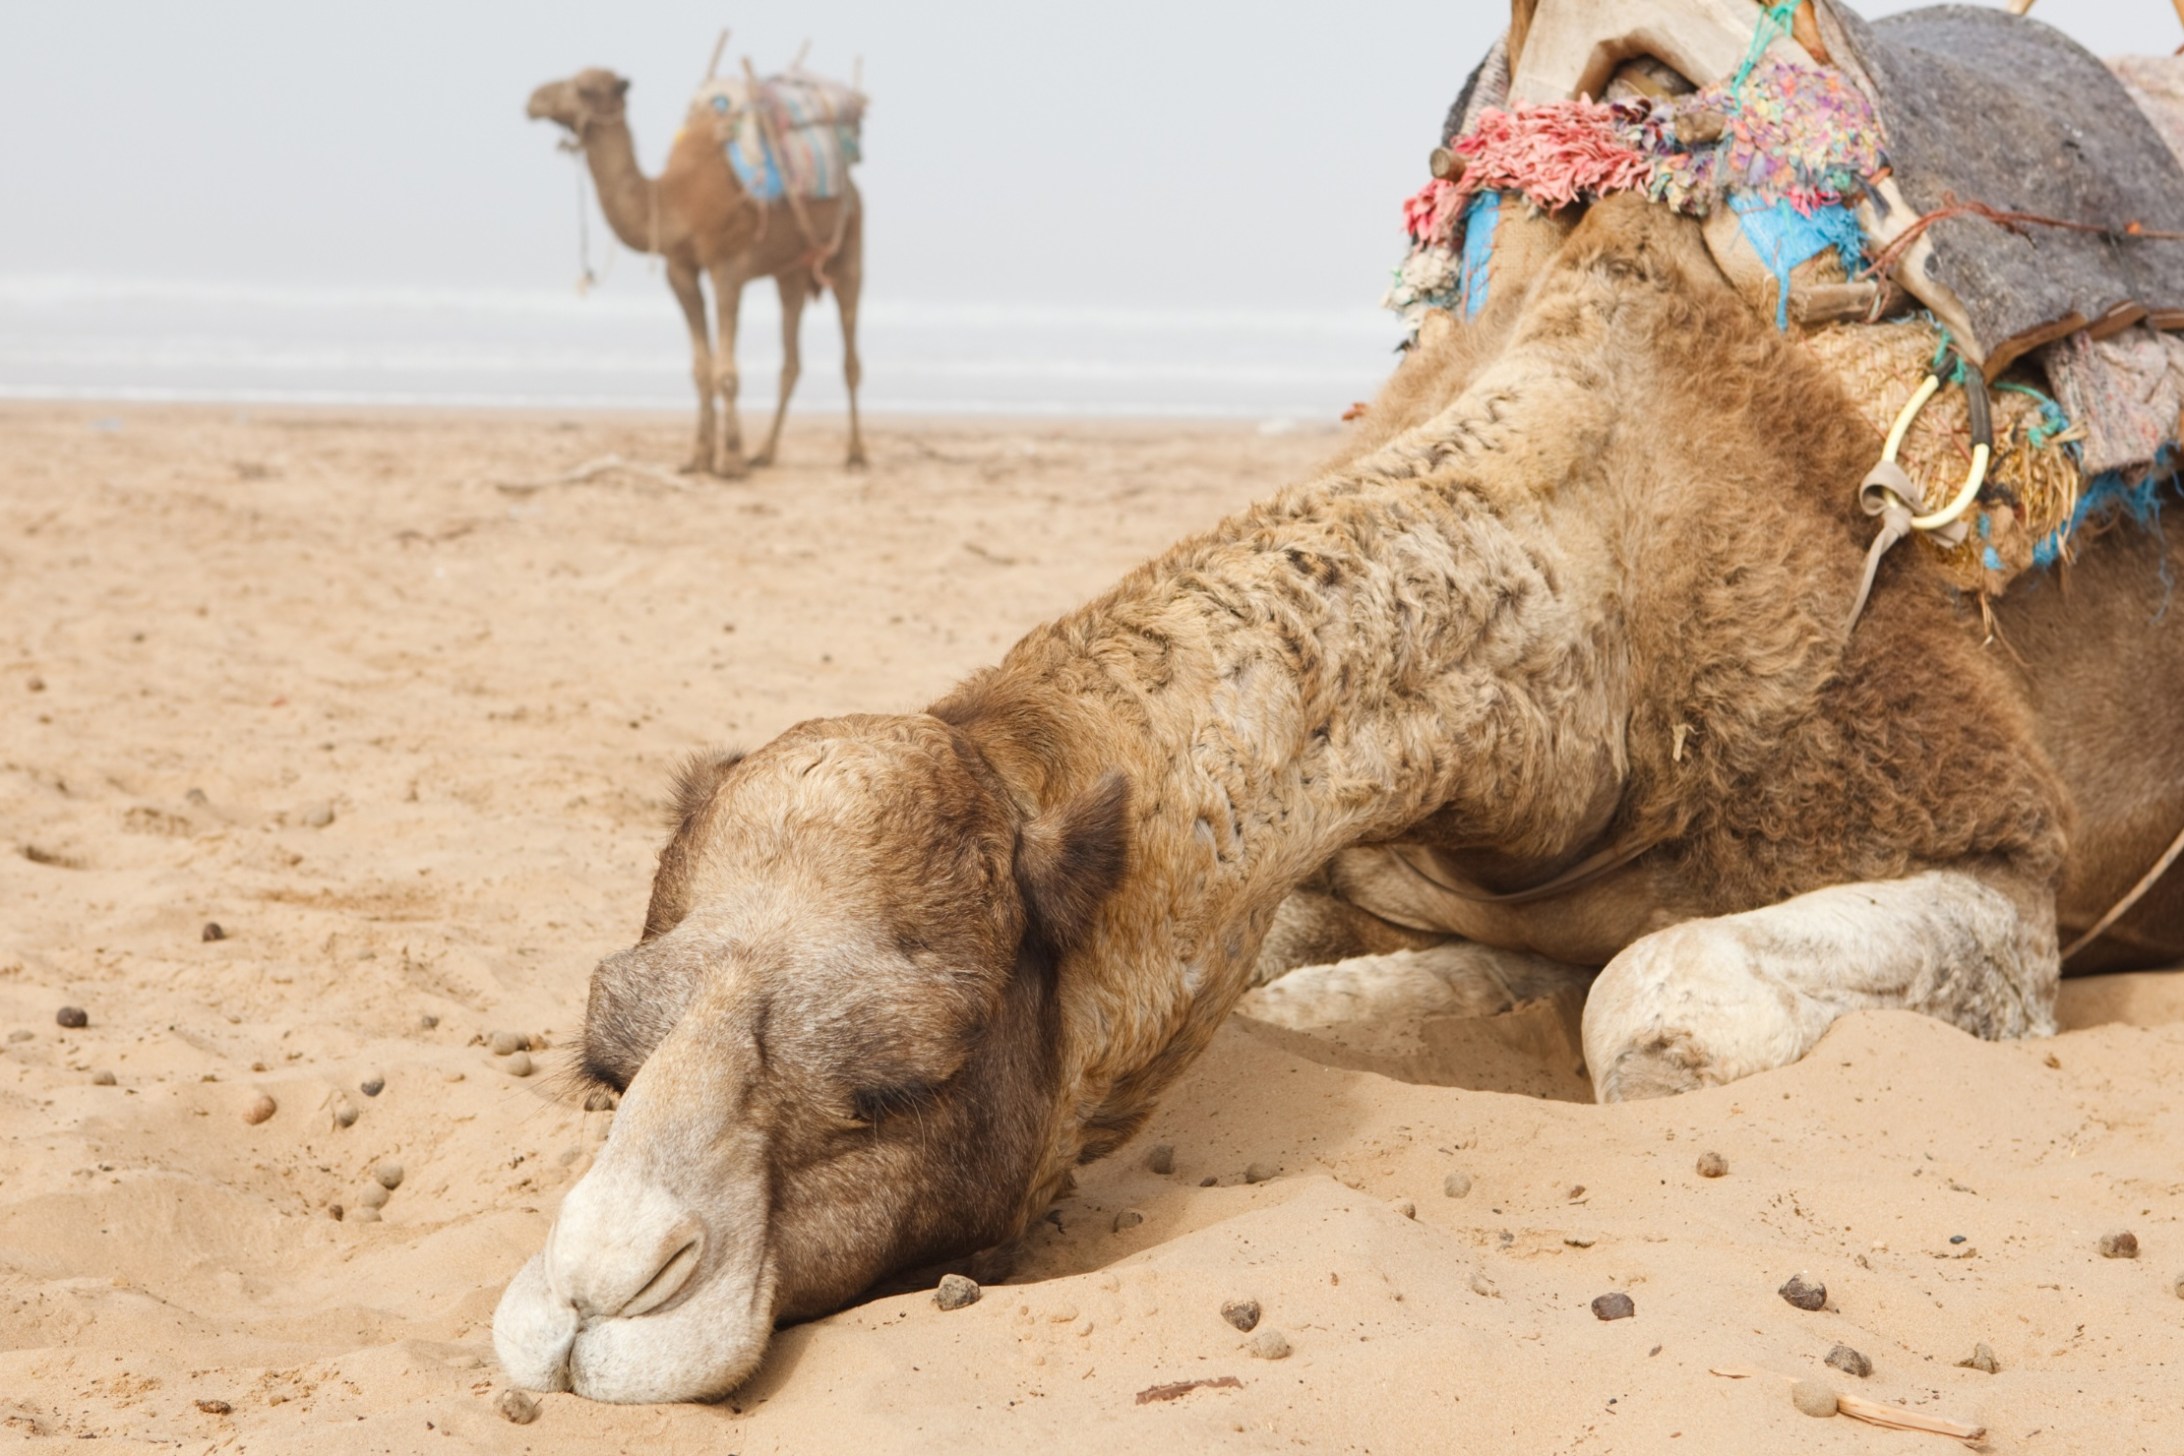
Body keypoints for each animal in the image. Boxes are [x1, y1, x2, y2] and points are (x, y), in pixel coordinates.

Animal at [526, 67, 866, 477]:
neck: (675, 197)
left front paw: (731, 461)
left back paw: (854, 454)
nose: (535, 99)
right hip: (792, 271)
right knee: (791, 358)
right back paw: (765, 453)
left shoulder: (727, 268)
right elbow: (702, 369)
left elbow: (725, 371)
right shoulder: (680, 269)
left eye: (586, 88)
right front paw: (699, 458)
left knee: (850, 354)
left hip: (850, 244)